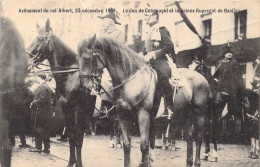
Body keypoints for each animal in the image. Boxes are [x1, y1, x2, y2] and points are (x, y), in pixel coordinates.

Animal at [78, 35, 210, 167]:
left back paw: (198, 162)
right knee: (189, 137)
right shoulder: (123, 116)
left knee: (198, 137)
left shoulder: (143, 115)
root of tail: (202, 78)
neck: (130, 80)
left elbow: (144, 146)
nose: (85, 87)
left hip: (199, 113)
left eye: (87, 58)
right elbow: (127, 145)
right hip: (184, 114)